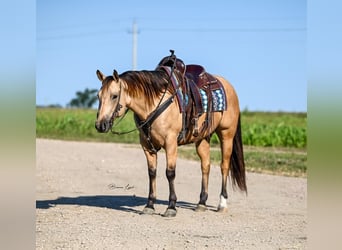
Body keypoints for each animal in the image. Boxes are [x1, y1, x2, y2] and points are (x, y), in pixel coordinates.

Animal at [95, 50, 247, 217]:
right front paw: (149, 205)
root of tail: (227, 86)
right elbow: (152, 173)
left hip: (226, 134)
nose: (100, 125)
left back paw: (222, 203)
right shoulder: (146, 145)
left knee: (224, 166)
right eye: (98, 96)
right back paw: (201, 203)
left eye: (114, 96)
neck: (155, 103)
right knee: (205, 165)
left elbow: (170, 173)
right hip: (202, 138)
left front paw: (171, 207)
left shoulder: (171, 142)